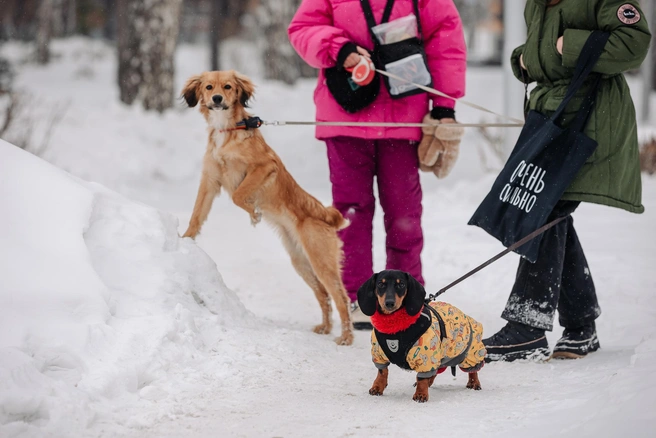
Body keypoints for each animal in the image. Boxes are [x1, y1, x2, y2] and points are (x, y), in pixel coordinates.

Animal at [179, 70, 354, 346]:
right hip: (301, 262)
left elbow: (238, 195)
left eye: (227, 87)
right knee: (323, 295)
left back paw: (346, 337)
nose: (217, 99)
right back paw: (326, 328)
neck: (227, 130)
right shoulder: (210, 180)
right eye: (208, 87)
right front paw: (185, 239)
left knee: (340, 296)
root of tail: (324, 214)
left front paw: (254, 213)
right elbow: (197, 215)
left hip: (321, 260)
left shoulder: (264, 167)